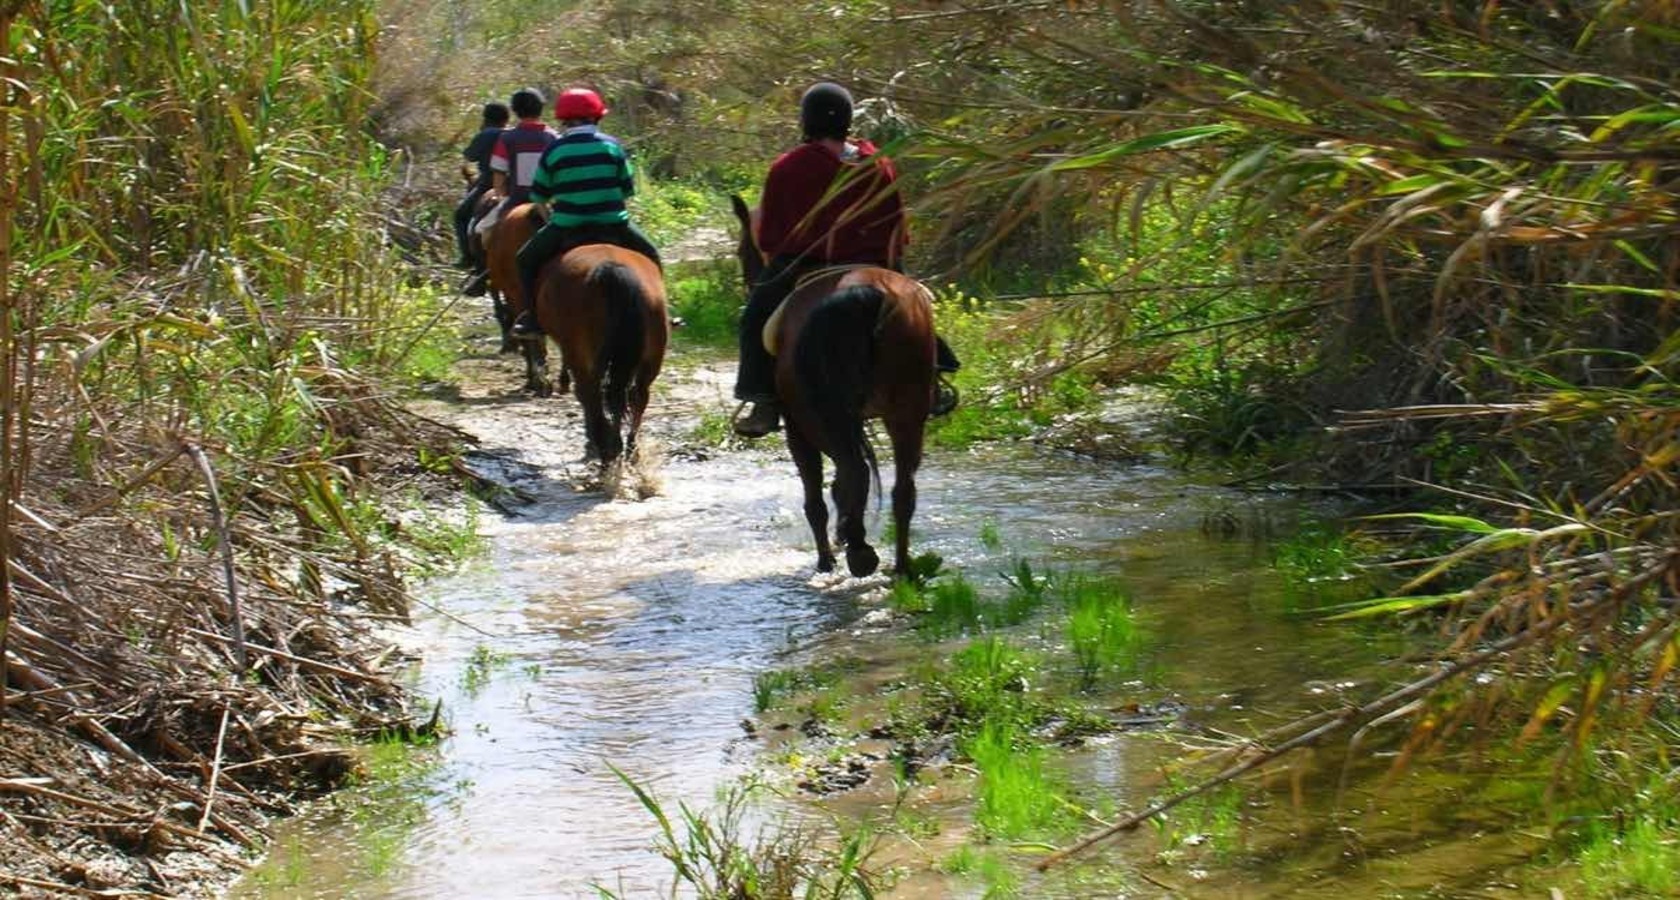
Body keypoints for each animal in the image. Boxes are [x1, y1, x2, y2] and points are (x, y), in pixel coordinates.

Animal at [527, 241, 665, 466]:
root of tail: (612, 271)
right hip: (651, 357)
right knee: (636, 395)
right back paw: (626, 449)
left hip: (582, 355)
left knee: (591, 394)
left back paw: (604, 447)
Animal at [729, 193, 940, 580]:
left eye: (741, 250)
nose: (750, 281)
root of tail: (863, 293)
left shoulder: (796, 427)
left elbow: (816, 495)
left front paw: (827, 558)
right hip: (907, 409)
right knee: (902, 490)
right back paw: (900, 567)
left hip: (817, 416)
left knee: (851, 472)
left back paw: (855, 552)